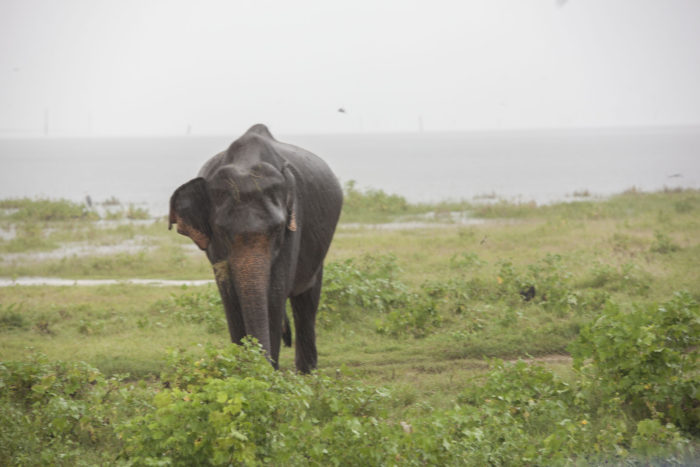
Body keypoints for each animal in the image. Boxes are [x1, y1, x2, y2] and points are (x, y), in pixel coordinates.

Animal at [170, 124, 344, 372]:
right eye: (221, 231)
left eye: (277, 229)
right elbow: (229, 294)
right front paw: (244, 369)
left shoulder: (294, 223)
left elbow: (275, 291)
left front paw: (265, 373)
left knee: (307, 301)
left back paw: (307, 371)